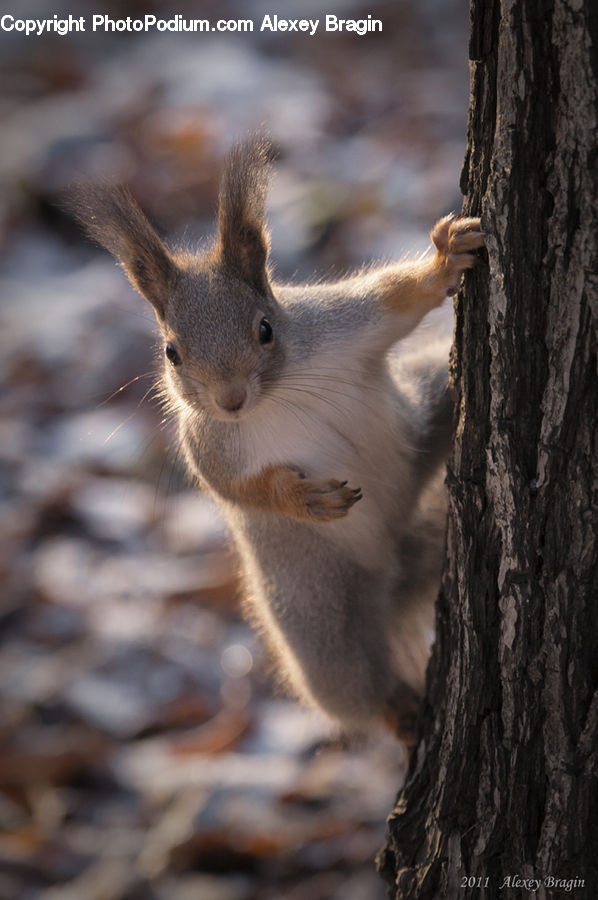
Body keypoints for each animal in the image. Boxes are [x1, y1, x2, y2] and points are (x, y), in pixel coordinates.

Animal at [71, 141, 488, 740]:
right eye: (172, 353)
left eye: (265, 329)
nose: (230, 400)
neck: (275, 398)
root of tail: (391, 569)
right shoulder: (205, 447)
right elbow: (236, 490)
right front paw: (300, 498)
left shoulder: (341, 325)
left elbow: (397, 300)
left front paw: (445, 260)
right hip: (316, 615)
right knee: (348, 683)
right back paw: (399, 711)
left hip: (418, 418)